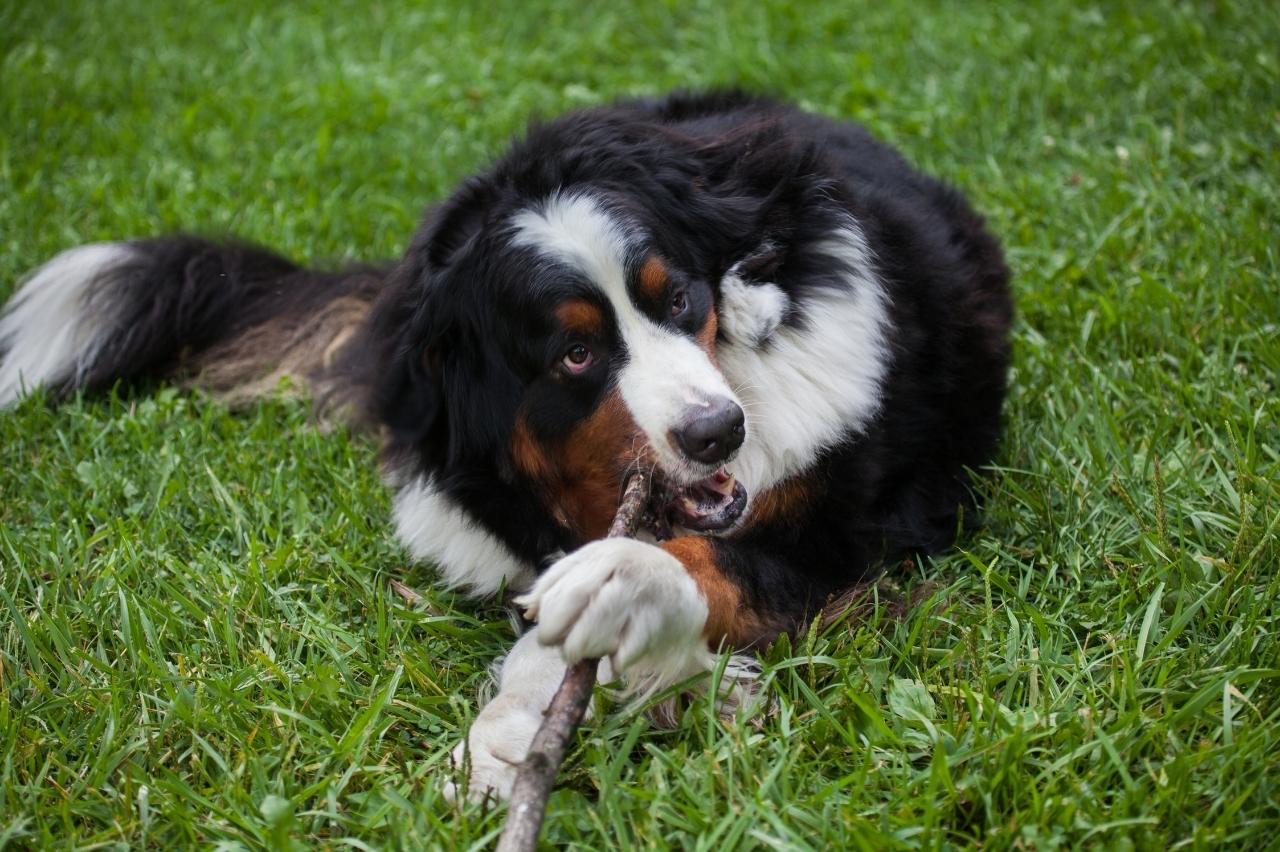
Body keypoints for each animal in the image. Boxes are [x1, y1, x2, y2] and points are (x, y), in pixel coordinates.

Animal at [0, 91, 1008, 798]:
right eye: (575, 354)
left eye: (679, 295)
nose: (720, 431)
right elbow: (548, 644)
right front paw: (505, 746)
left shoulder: (846, 531)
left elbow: (702, 564)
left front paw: (627, 588)